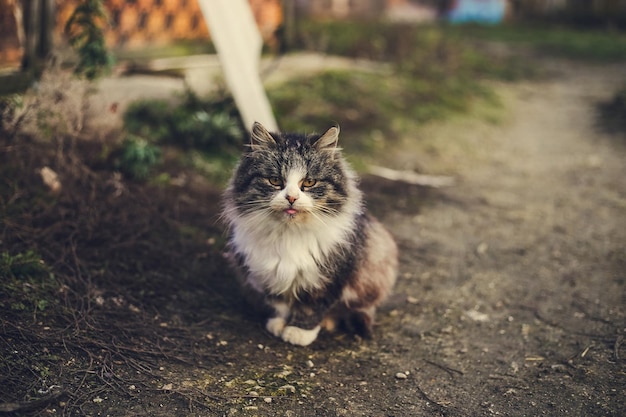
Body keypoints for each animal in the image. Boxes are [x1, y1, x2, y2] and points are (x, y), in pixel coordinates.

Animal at [222, 122, 394, 346]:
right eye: (275, 180)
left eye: (309, 182)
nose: (292, 198)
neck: (288, 234)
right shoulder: (269, 276)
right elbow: (280, 305)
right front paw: (279, 325)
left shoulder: (328, 278)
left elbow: (311, 308)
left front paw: (298, 332)